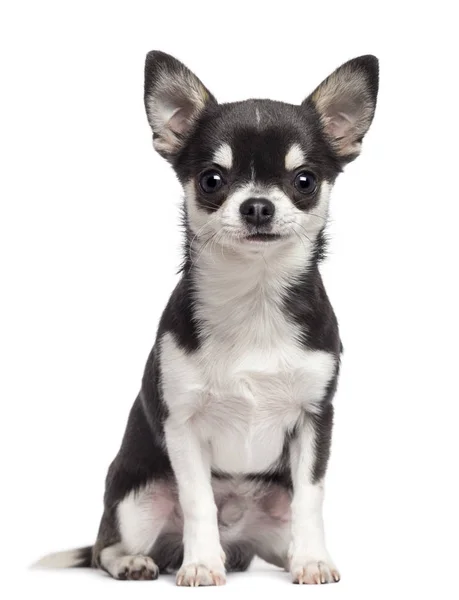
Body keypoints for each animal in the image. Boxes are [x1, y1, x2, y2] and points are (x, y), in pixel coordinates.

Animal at [36, 51, 380, 584]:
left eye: (303, 180)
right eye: (212, 180)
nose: (257, 205)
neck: (253, 298)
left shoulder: (314, 420)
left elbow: (311, 497)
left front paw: (313, 560)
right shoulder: (183, 427)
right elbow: (198, 500)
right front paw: (200, 564)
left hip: (270, 516)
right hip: (137, 496)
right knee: (104, 548)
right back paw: (136, 561)